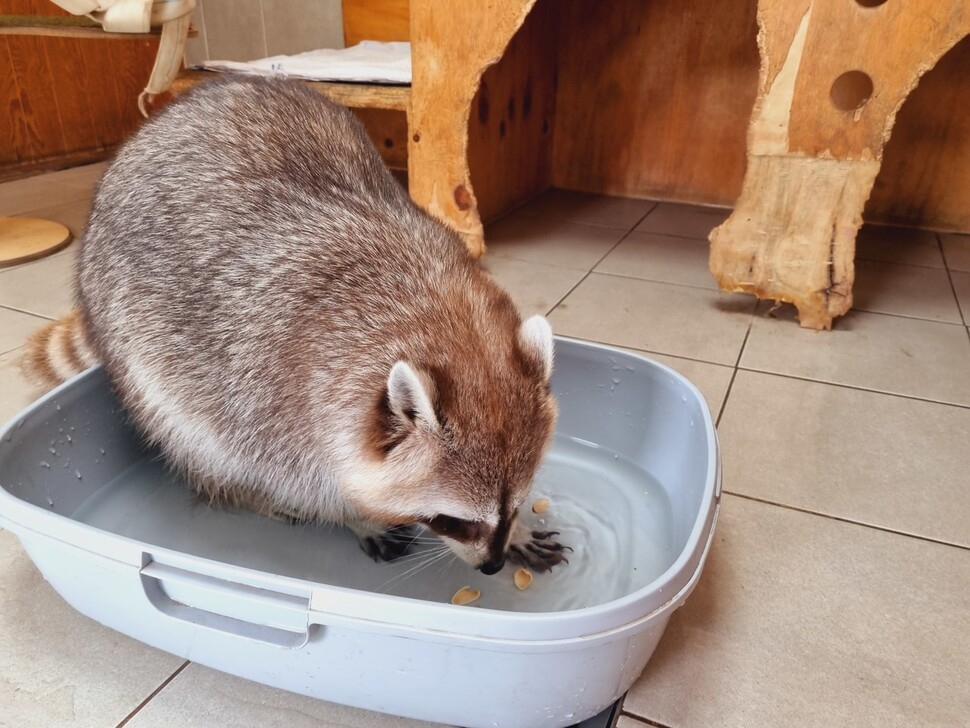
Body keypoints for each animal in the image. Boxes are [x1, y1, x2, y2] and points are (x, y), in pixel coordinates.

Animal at [24, 74, 568, 576]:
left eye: (514, 504)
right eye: (454, 520)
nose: (491, 567)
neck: (431, 310)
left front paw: (519, 532)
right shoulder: (266, 397)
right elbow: (295, 475)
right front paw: (351, 515)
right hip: (131, 338)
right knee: (188, 435)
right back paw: (244, 493)